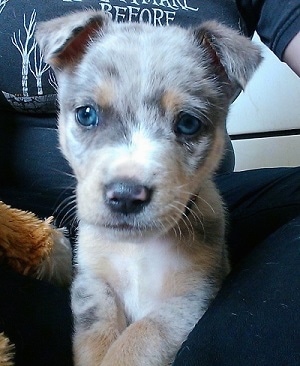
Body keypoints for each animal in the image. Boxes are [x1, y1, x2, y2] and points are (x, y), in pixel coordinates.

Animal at [35, 11, 260, 366]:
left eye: (188, 123)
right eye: (87, 114)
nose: (126, 196)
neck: (136, 249)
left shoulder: (189, 298)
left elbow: (139, 338)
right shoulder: (92, 282)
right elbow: (95, 335)